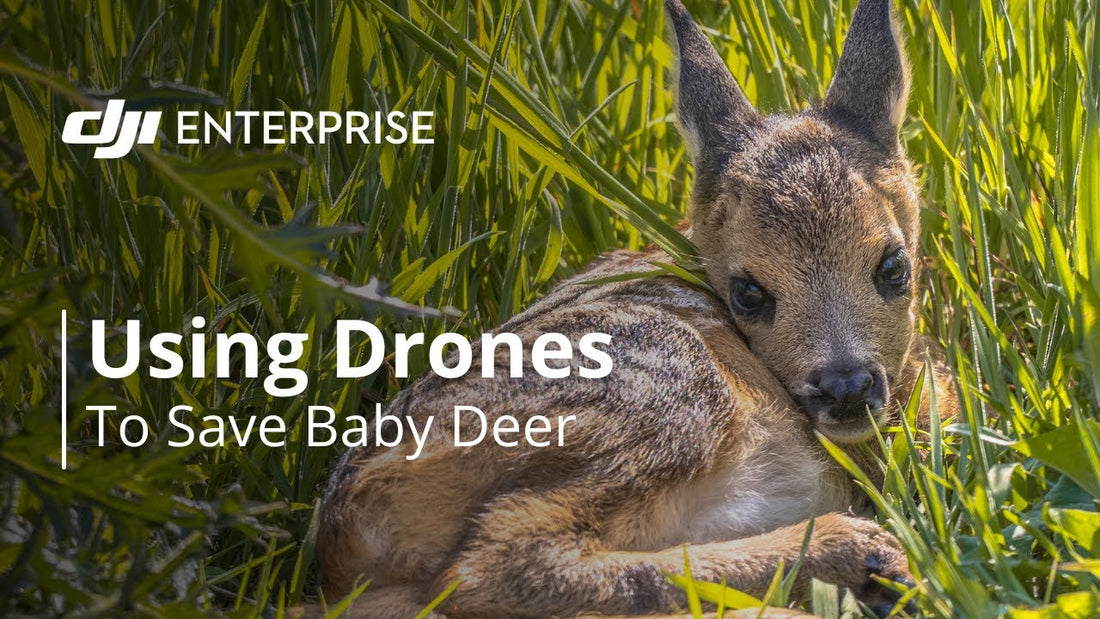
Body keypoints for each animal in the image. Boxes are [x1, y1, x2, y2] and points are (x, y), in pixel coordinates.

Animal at [316, 0, 957, 616]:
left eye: (893, 266)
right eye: (747, 292)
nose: (846, 387)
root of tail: (349, 524)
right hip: (662, 387)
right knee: (492, 561)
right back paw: (859, 556)